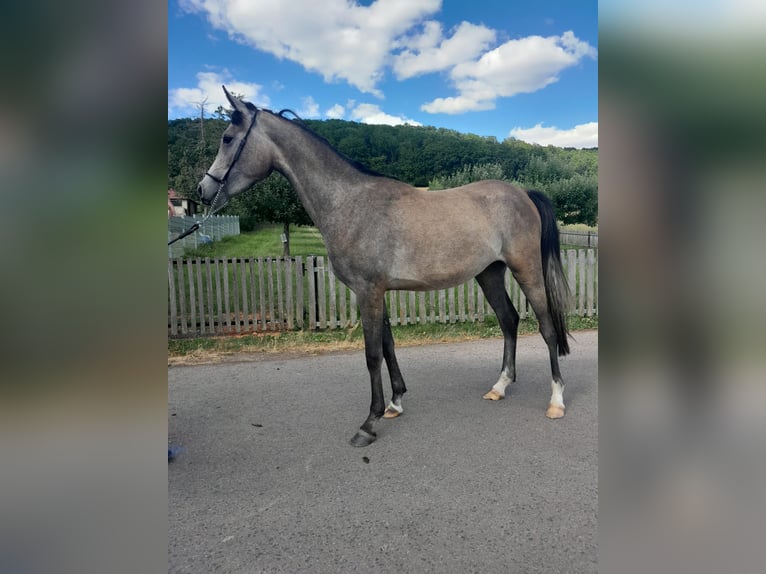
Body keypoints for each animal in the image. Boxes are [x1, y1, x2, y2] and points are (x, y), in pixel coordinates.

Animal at [198, 86, 573, 447]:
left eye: (228, 138)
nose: (203, 190)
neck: (350, 203)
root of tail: (522, 194)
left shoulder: (367, 291)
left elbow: (372, 354)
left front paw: (368, 424)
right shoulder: (377, 292)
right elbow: (389, 345)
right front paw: (395, 404)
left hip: (526, 270)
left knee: (547, 327)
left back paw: (556, 400)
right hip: (489, 272)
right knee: (509, 320)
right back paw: (500, 386)